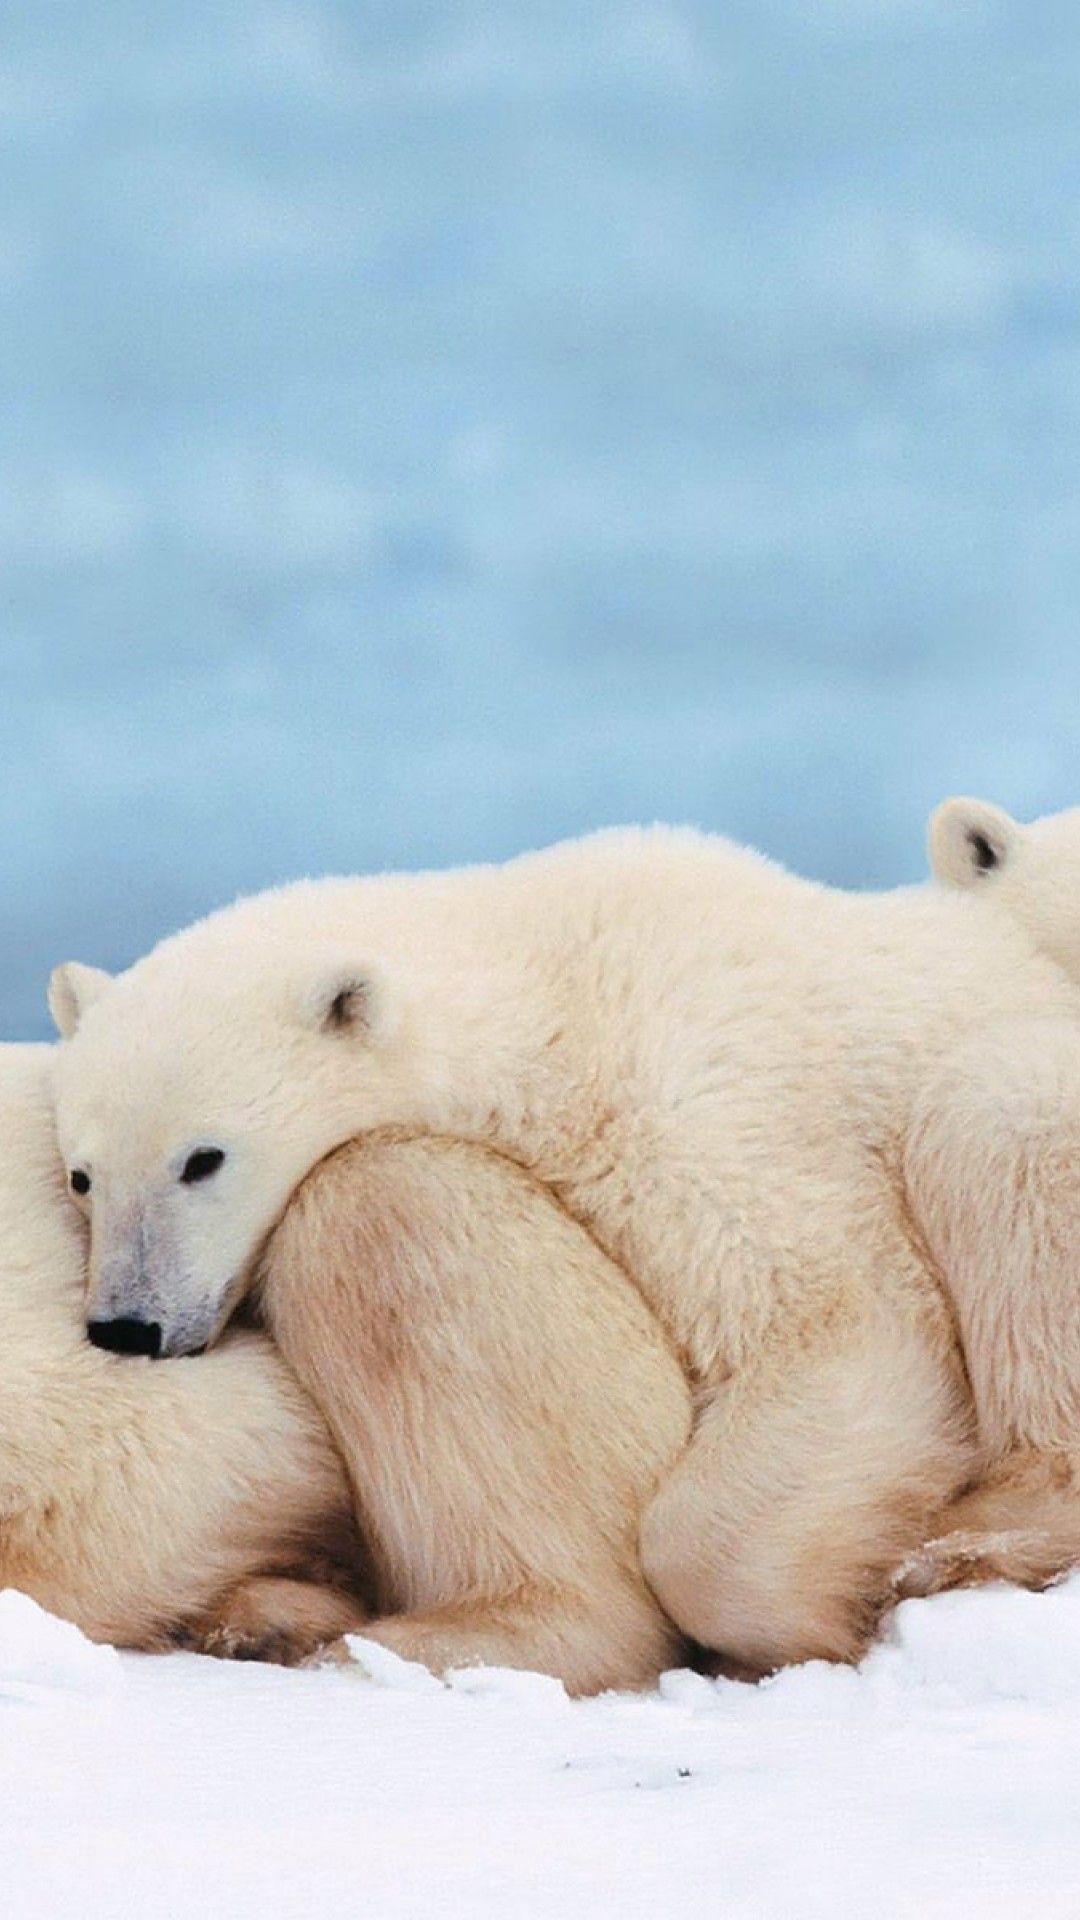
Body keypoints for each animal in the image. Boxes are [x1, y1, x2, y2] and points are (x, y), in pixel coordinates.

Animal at [47, 796, 1080, 1671]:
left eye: (202, 1159)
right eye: (82, 1174)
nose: (127, 1326)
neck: (555, 988)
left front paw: (819, 1612)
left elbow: (839, 1319)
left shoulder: (700, 1095)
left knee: (994, 1118)